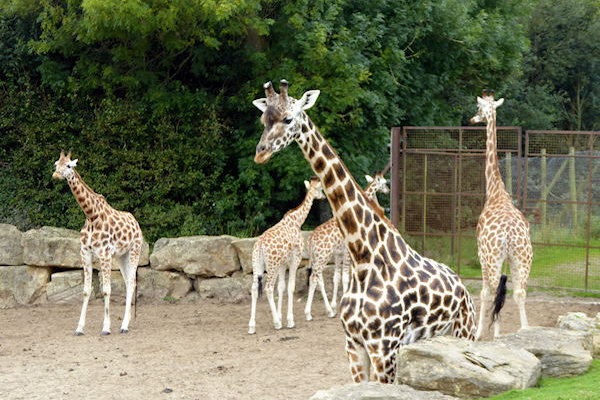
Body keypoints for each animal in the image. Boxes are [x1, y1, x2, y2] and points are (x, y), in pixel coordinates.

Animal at [247, 177, 326, 334]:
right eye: (320, 189)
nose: (324, 197)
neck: (297, 221)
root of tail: (260, 246)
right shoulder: (295, 260)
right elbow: (291, 287)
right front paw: (289, 321)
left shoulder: (283, 263)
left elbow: (281, 287)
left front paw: (281, 316)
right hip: (271, 265)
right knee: (268, 288)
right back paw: (276, 324)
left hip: (257, 264)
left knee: (254, 288)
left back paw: (252, 326)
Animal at [304, 172, 390, 322]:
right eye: (384, 182)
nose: (388, 190)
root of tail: (310, 241)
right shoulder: (347, 252)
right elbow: (346, 277)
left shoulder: (339, 253)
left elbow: (337, 277)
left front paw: (335, 306)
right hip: (322, 257)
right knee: (314, 278)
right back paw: (309, 314)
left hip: (317, 258)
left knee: (317, 277)